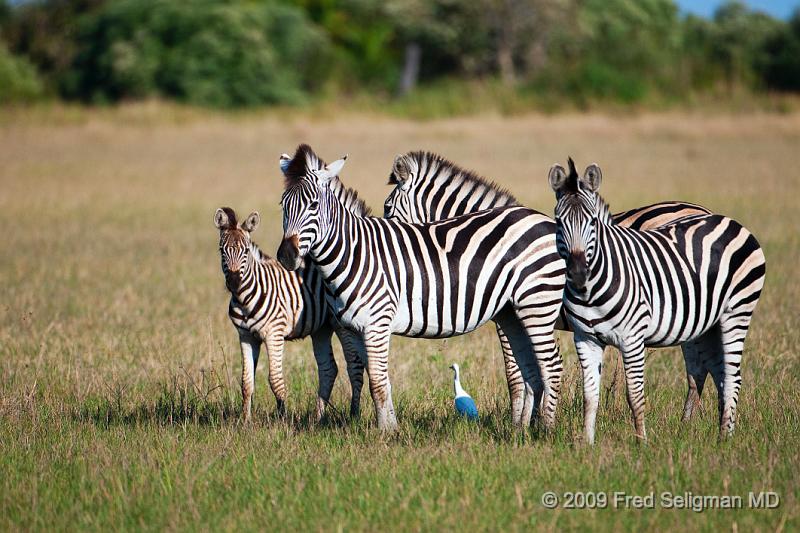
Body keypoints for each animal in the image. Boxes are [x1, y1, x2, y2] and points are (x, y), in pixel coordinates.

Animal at [211, 206, 364, 422]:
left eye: (246, 251)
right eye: (222, 251)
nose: (233, 283)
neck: (245, 298)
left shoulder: (274, 334)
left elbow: (275, 380)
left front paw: (282, 419)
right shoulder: (246, 336)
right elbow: (246, 382)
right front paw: (245, 421)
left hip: (341, 326)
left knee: (354, 366)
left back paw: (354, 415)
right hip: (322, 329)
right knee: (328, 369)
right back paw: (318, 418)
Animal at [278, 143, 564, 430]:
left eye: (314, 205)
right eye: (283, 205)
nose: (286, 256)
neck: (354, 253)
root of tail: (542, 219)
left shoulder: (376, 325)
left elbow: (377, 384)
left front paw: (385, 433)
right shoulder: (355, 329)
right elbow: (377, 380)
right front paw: (390, 428)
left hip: (536, 304)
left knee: (551, 366)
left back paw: (546, 430)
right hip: (513, 312)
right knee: (533, 371)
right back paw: (522, 431)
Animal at [384, 150, 716, 424]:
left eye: (388, 208)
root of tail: (704, 210)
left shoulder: (508, 315)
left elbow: (515, 373)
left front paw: (521, 421)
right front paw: (531, 419)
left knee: (697, 369)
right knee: (698, 370)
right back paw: (687, 425)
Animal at [548, 160, 764, 442]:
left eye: (593, 222)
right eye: (558, 223)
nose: (576, 272)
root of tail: (714, 214)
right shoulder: (580, 335)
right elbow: (584, 394)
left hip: (733, 312)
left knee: (726, 374)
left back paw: (719, 438)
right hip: (700, 320)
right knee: (706, 373)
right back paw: (692, 429)